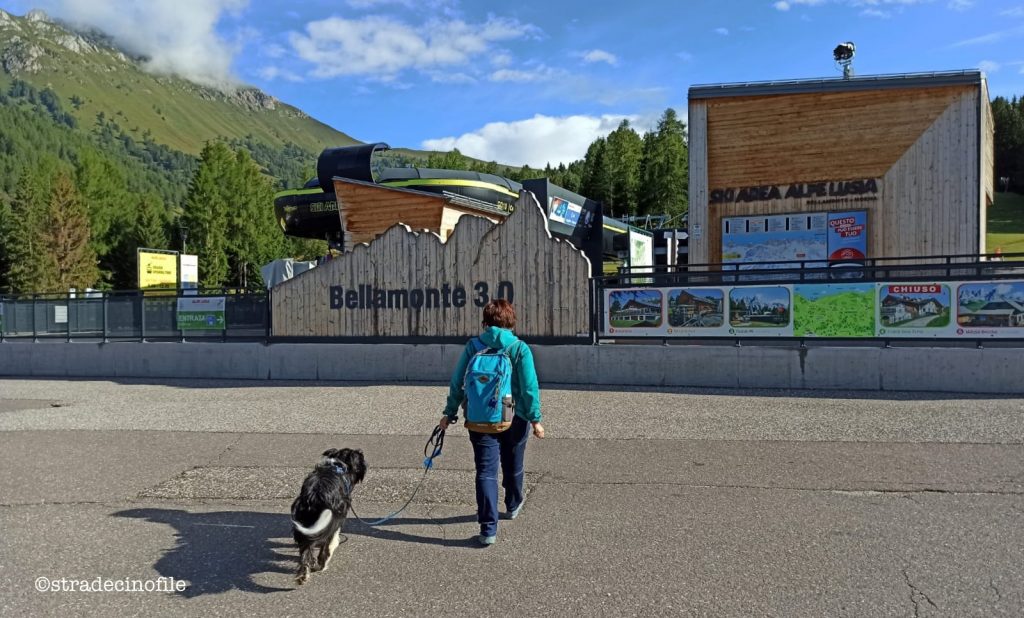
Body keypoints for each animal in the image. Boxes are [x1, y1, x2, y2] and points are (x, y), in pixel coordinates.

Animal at [290, 448, 366, 585]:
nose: (361, 452)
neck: (339, 466)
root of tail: (315, 495)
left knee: (305, 552)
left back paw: (303, 576)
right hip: (331, 521)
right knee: (324, 548)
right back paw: (322, 565)